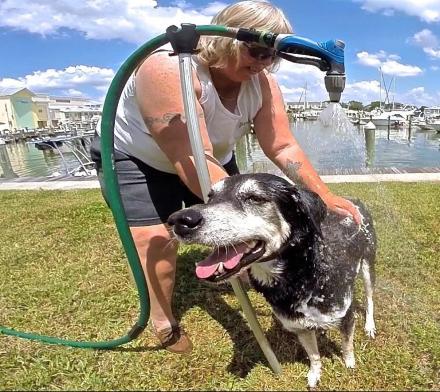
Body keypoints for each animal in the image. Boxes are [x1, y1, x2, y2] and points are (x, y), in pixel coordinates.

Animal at [167, 173, 376, 388]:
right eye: (210, 196)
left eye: (255, 198)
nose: (178, 220)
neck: (304, 277)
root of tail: (353, 199)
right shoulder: (300, 328)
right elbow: (314, 355)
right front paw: (315, 374)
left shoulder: (346, 317)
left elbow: (347, 345)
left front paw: (349, 364)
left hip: (368, 267)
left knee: (369, 299)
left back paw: (369, 326)